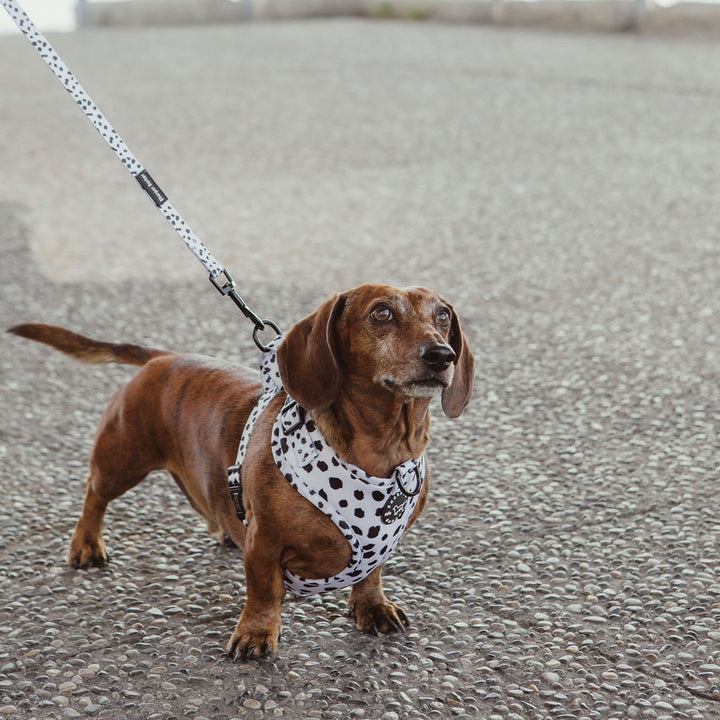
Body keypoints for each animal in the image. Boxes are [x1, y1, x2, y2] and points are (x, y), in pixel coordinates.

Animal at [11, 284, 476, 660]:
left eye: (443, 316)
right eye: (381, 313)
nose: (442, 355)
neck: (381, 455)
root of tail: (163, 357)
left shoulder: (382, 541)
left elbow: (372, 574)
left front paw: (372, 607)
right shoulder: (265, 543)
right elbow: (264, 592)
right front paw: (256, 635)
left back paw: (223, 527)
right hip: (121, 458)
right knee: (95, 493)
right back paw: (86, 543)